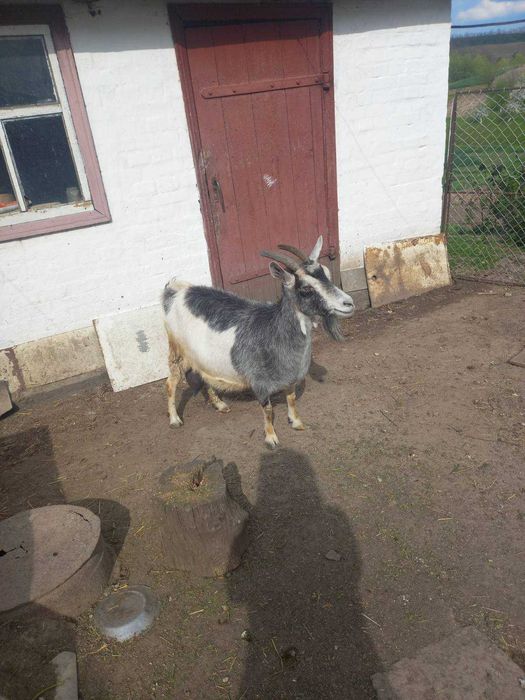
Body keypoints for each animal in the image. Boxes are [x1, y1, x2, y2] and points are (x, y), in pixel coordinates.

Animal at [162, 236, 355, 448]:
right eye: (306, 289)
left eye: (326, 273)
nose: (349, 303)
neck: (273, 331)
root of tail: (175, 291)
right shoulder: (259, 382)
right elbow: (267, 409)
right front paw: (271, 439)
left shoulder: (290, 377)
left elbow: (291, 398)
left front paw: (296, 422)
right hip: (176, 350)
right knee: (171, 383)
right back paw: (174, 420)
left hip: (201, 357)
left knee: (204, 376)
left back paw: (220, 405)